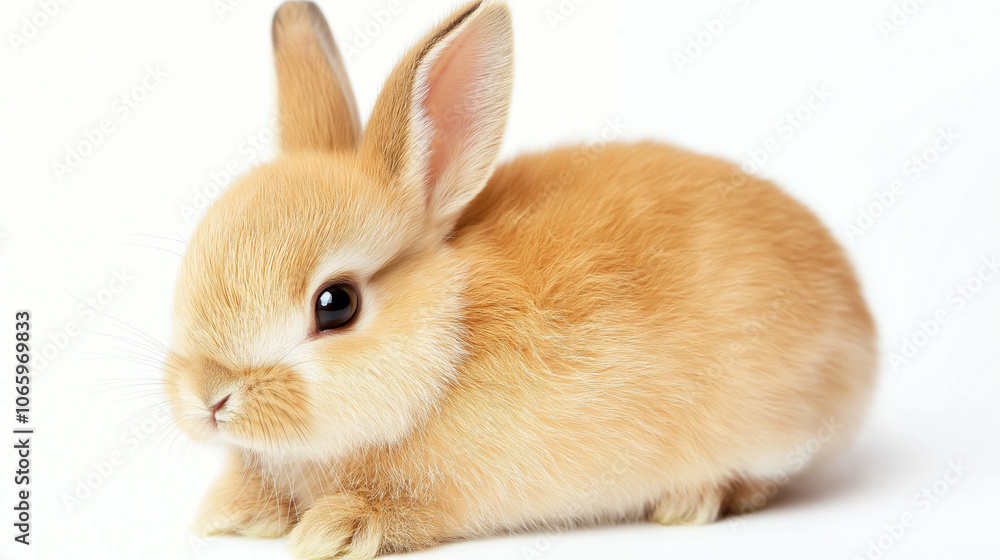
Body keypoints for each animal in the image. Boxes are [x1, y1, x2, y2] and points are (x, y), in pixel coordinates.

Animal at [163, 1, 877, 558]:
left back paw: (692, 499)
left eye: (336, 305)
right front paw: (230, 513)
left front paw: (332, 530)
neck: (447, 344)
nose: (211, 399)